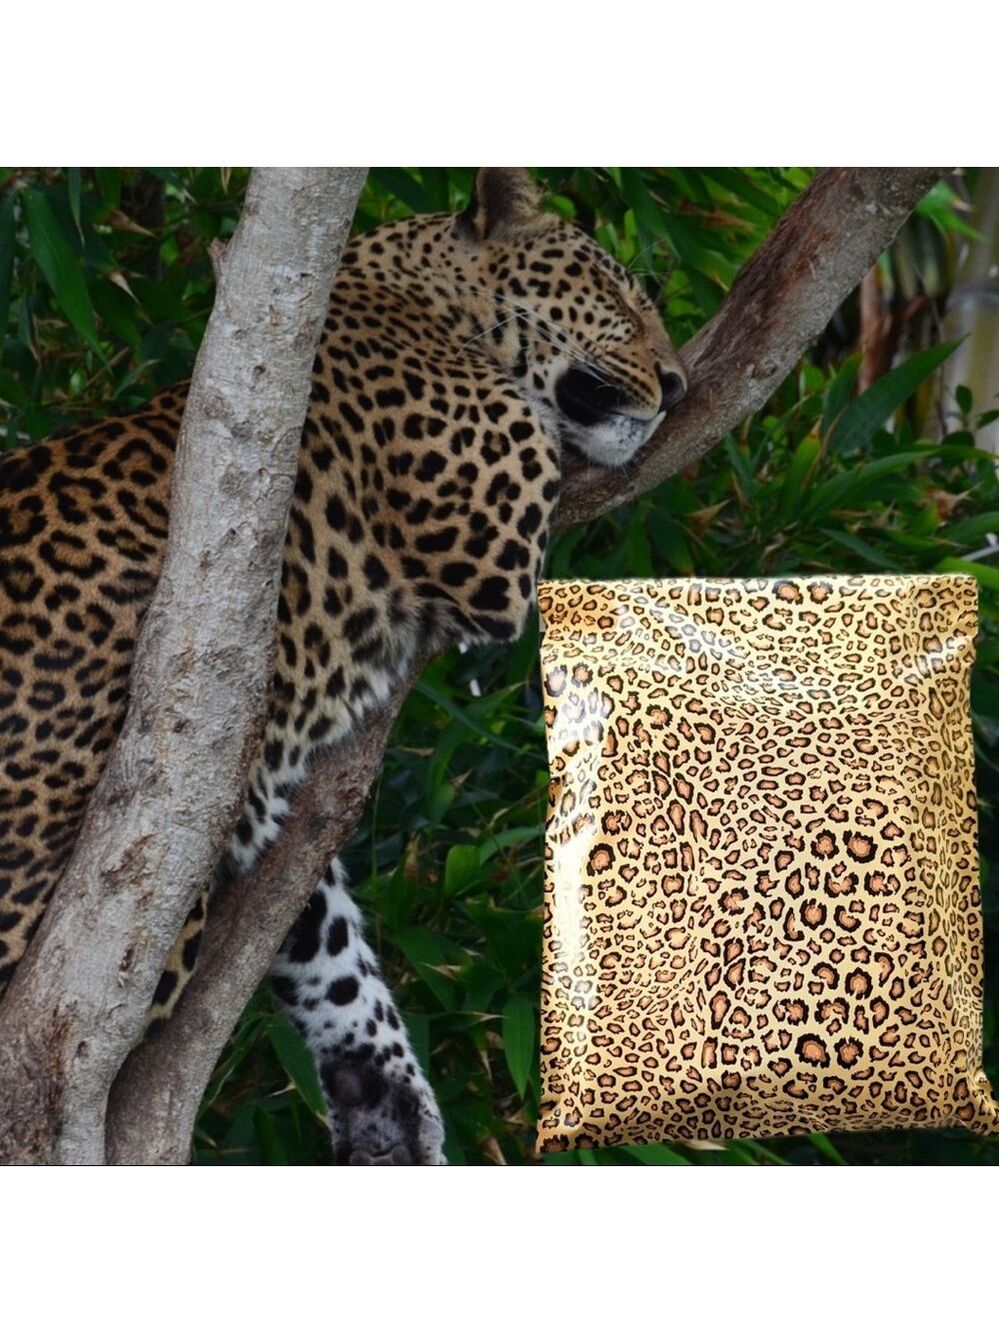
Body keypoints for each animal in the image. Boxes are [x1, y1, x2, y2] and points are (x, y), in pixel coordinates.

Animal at [0, 169, 688, 1165]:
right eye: (619, 294)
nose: (678, 385)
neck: (408, 292)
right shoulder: (491, 536)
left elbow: (327, 944)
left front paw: (387, 1100)